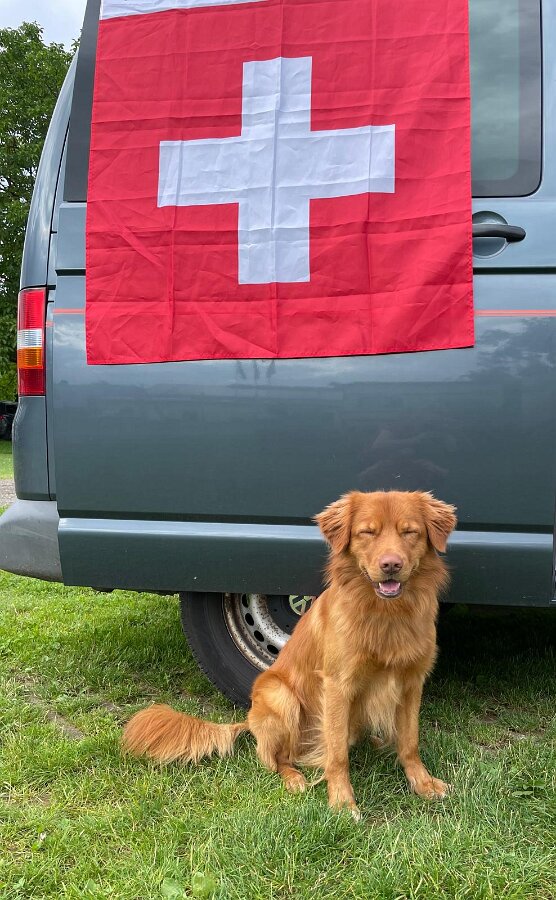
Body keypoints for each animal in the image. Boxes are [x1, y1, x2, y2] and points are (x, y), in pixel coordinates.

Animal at [123, 490, 456, 818]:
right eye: (367, 532)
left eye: (410, 532)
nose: (391, 565)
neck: (387, 615)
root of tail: (250, 720)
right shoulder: (337, 685)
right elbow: (337, 753)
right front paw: (342, 801)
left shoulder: (412, 682)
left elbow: (410, 741)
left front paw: (422, 783)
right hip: (282, 697)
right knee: (275, 758)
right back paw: (295, 778)